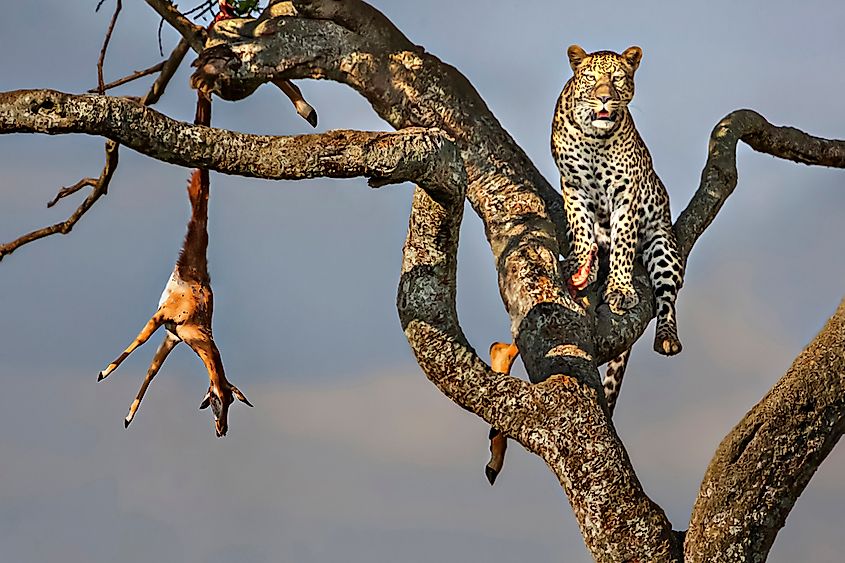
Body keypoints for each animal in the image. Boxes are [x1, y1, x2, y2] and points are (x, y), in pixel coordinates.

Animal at [552, 44, 684, 414]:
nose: (604, 98)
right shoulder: (572, 185)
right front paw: (580, 262)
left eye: (617, 78)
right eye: (590, 77)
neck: (596, 138)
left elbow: (624, 240)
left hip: (663, 248)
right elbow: (580, 226)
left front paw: (620, 289)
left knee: (667, 297)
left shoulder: (627, 193)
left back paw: (667, 337)